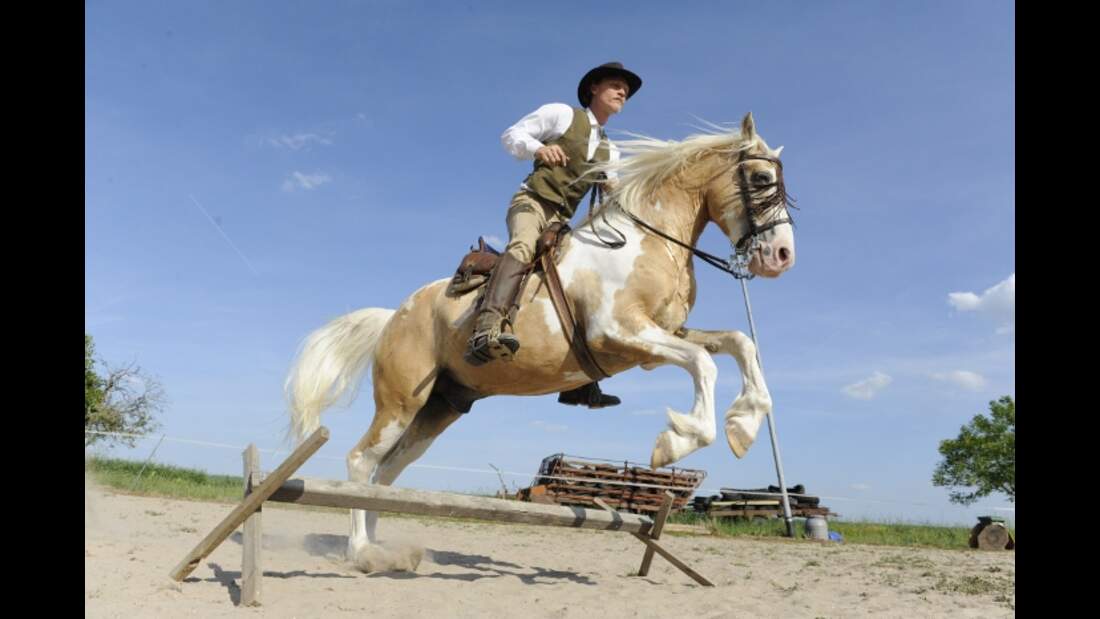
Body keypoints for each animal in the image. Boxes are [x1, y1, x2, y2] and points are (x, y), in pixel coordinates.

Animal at [285, 112, 797, 568]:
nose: (782, 256)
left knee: (387, 470)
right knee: (361, 460)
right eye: (759, 178)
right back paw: (361, 553)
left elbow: (739, 343)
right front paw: (678, 441)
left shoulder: (657, 340)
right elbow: (703, 364)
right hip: (400, 402)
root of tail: (394, 316)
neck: (650, 241)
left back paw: (382, 548)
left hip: (440, 407)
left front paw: (743, 426)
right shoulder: (620, 332)